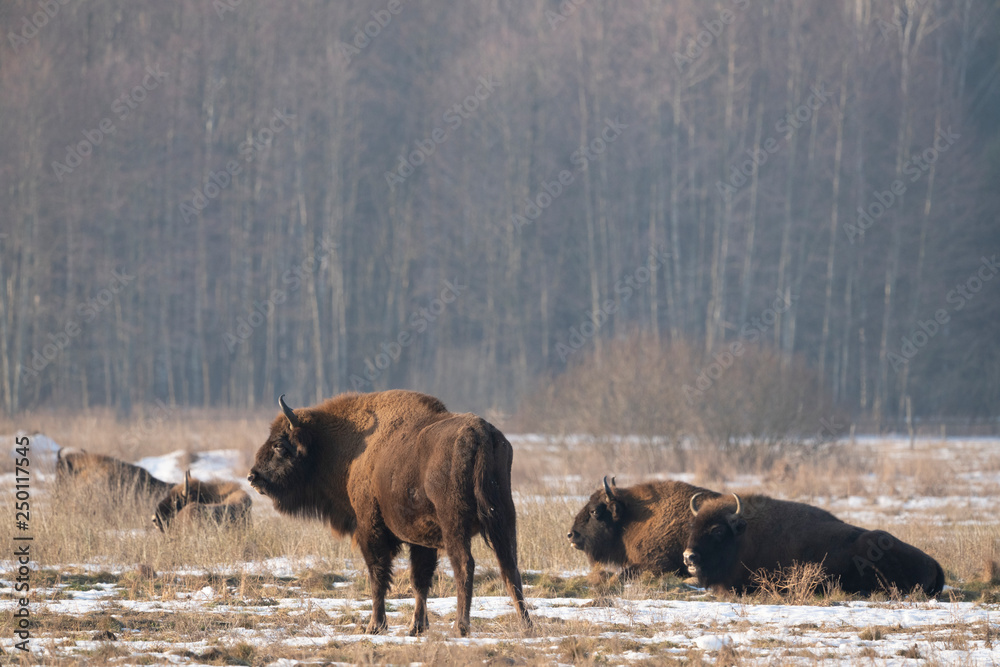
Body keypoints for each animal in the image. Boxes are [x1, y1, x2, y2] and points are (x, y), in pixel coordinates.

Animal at [247, 391, 531, 636]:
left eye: (280, 445)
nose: (253, 477)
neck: (349, 449)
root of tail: (480, 434)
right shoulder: (422, 540)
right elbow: (419, 580)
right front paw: (416, 627)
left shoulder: (370, 528)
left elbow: (378, 575)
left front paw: (375, 625)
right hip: (503, 518)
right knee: (510, 567)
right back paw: (526, 625)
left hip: (455, 524)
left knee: (465, 564)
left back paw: (461, 626)